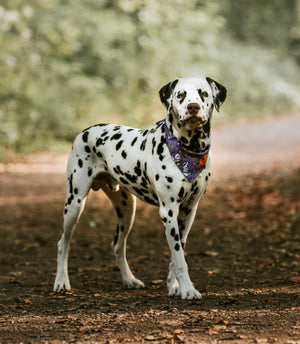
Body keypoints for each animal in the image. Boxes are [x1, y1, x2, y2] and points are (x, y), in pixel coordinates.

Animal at [54, 76, 227, 300]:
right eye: (181, 95)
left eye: (203, 93)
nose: (193, 107)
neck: (188, 149)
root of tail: (86, 131)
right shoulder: (168, 211)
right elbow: (179, 257)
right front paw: (188, 289)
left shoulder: (188, 212)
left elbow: (177, 253)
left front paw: (174, 286)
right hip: (74, 204)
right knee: (63, 244)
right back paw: (61, 281)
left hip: (127, 209)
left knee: (118, 245)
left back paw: (129, 280)